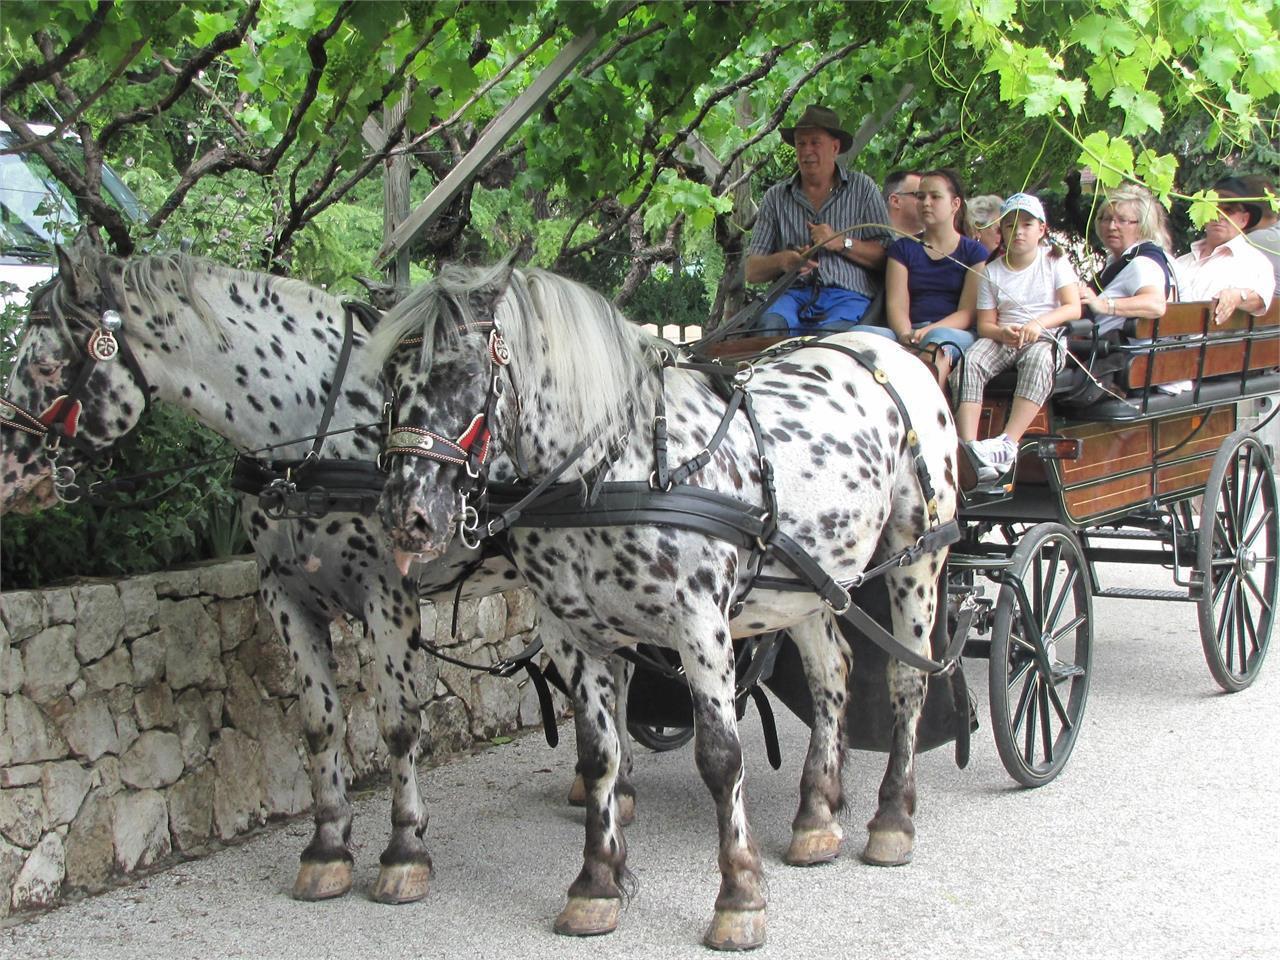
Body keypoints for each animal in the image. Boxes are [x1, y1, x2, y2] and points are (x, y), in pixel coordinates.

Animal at [0, 248, 640, 911]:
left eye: (46, 363)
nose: (5, 471)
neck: (312, 425)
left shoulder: (389, 596)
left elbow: (398, 724)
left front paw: (405, 849)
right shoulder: (286, 597)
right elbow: (319, 722)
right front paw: (328, 846)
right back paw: (613, 789)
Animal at [371, 263, 962, 957]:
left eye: (463, 371)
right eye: (389, 380)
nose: (407, 515)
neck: (616, 471)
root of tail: (889, 350)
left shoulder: (701, 627)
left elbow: (721, 759)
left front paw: (739, 895)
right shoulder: (573, 637)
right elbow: (600, 754)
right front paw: (596, 886)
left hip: (917, 554)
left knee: (907, 680)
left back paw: (893, 818)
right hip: (807, 582)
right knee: (831, 673)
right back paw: (817, 813)